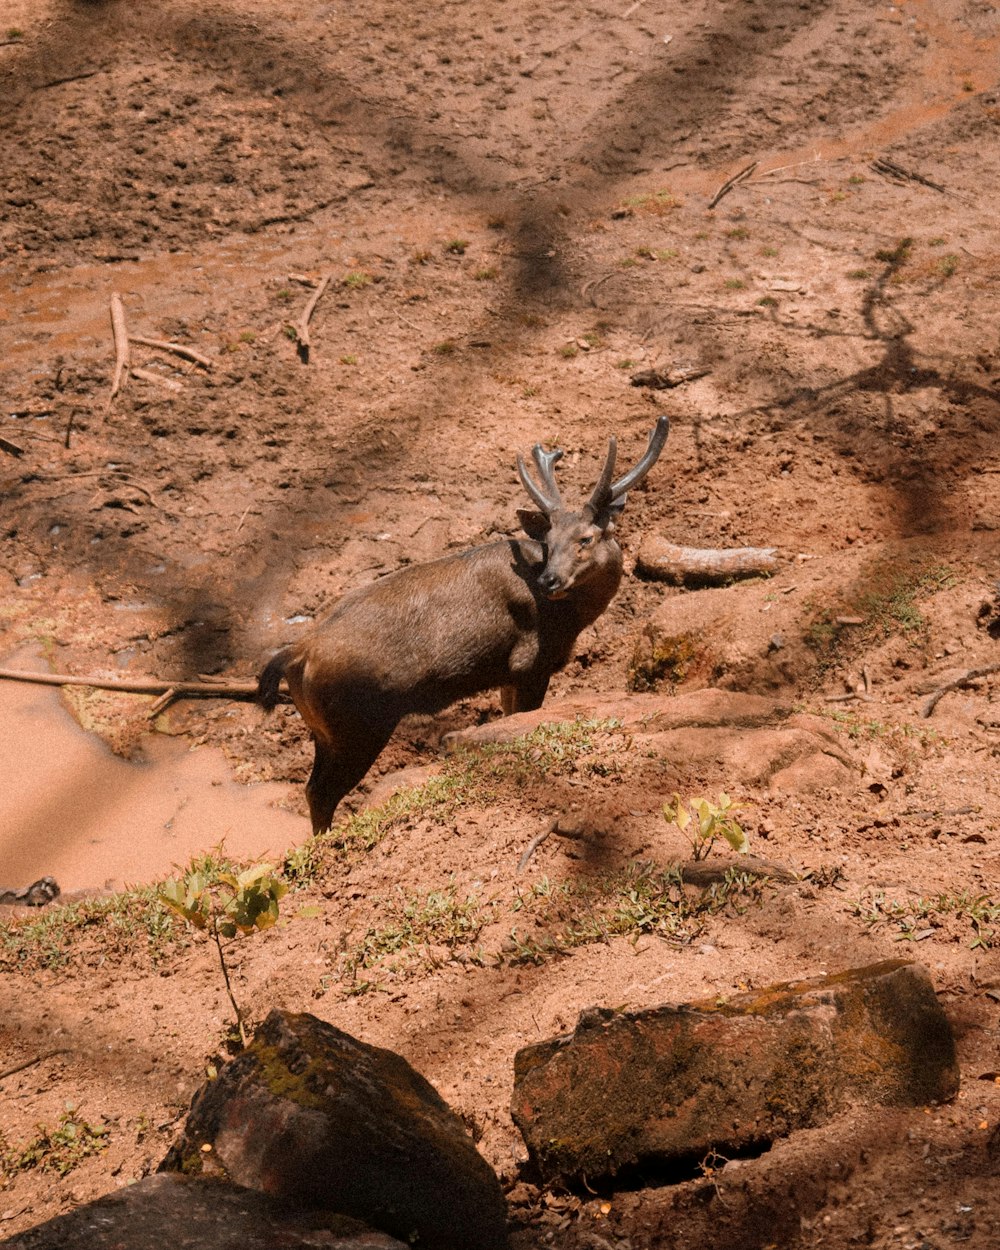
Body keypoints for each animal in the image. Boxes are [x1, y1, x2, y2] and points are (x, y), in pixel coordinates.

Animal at [257, 415, 670, 835]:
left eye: (585, 538)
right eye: (551, 540)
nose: (548, 580)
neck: (571, 620)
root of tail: (298, 652)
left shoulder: (507, 673)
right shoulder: (530, 663)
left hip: (323, 729)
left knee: (311, 788)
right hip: (357, 724)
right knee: (322, 793)